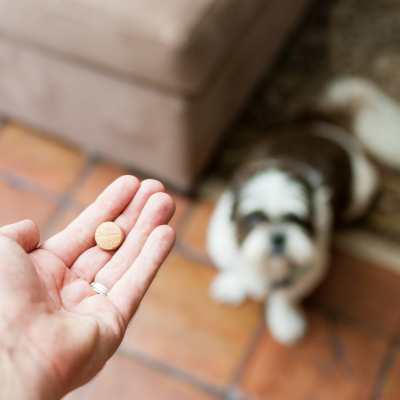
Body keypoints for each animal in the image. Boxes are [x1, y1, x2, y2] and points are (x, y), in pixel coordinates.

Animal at [206, 77, 400, 344]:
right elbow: (236, 264)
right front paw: (234, 283)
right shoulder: (222, 241)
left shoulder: (311, 264)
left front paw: (284, 318)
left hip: (362, 190)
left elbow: (286, 293)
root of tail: (322, 126)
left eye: (296, 220)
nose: (278, 236)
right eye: (255, 219)